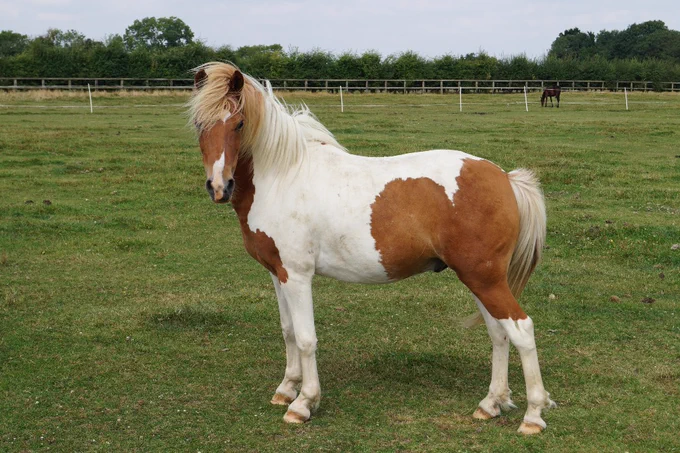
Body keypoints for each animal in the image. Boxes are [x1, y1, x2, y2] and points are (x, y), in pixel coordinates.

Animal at [187, 62, 556, 435]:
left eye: (239, 124)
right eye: (199, 124)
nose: (218, 187)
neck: (283, 176)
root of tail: (505, 178)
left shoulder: (298, 275)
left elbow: (306, 339)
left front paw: (304, 403)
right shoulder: (278, 274)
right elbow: (289, 331)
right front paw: (286, 388)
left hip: (484, 278)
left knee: (521, 330)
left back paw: (533, 416)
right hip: (479, 279)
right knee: (498, 333)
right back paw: (490, 404)